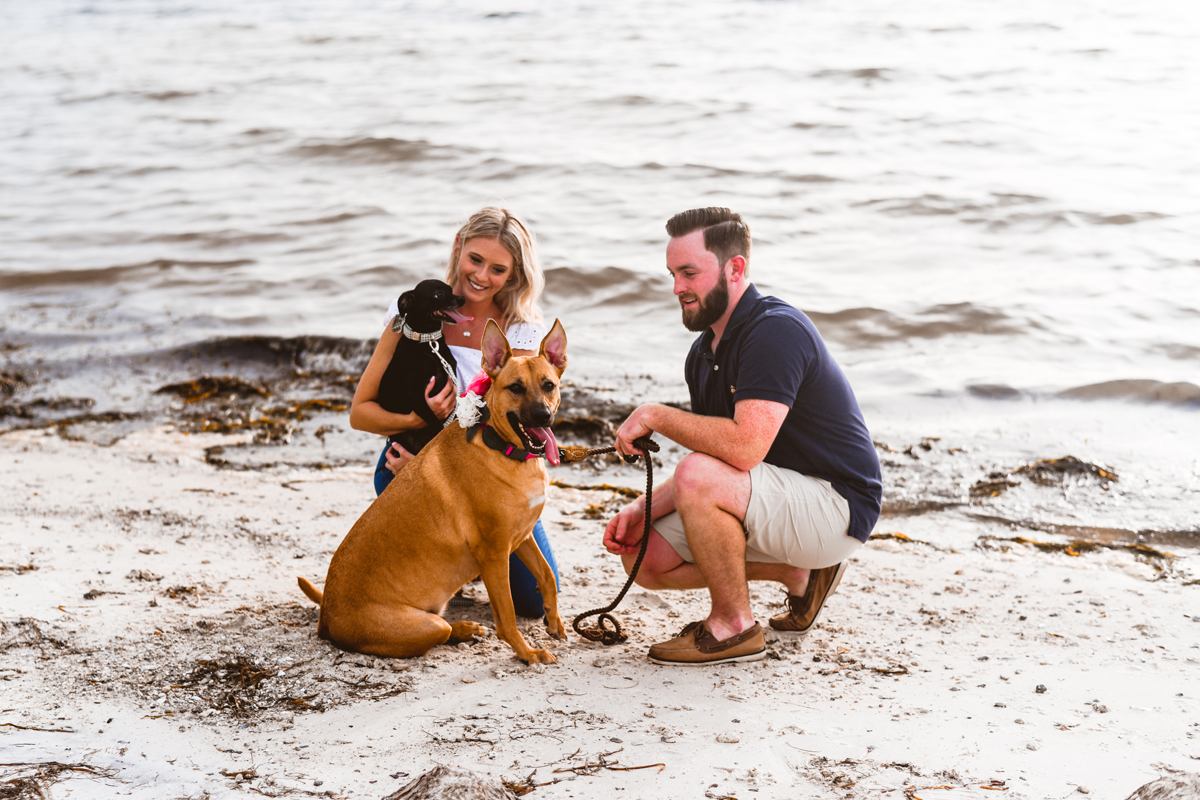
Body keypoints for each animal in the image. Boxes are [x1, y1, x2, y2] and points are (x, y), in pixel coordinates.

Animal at [297, 319, 564, 662]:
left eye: (549, 385)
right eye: (515, 388)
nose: (544, 416)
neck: (502, 448)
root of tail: (325, 618)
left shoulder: (522, 535)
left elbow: (547, 576)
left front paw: (555, 622)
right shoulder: (494, 553)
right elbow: (506, 617)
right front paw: (527, 653)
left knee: (447, 625)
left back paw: (467, 628)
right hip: (424, 626)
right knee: (442, 630)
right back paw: (462, 629)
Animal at [376, 280, 470, 455]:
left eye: (450, 289)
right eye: (438, 294)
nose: (462, 299)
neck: (429, 342)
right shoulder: (416, 397)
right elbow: (438, 426)